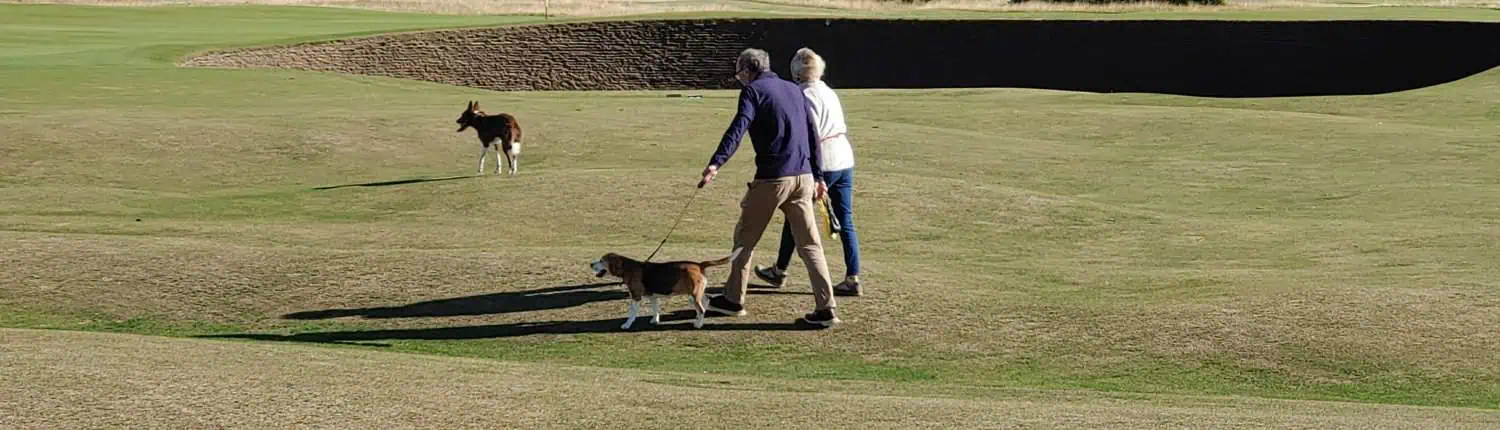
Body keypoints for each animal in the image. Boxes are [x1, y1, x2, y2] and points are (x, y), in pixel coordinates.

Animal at [591, 248, 744, 329]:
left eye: (602, 260)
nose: (591, 264)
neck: (627, 267)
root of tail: (699, 264)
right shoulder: (653, 296)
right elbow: (655, 309)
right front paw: (655, 320)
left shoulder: (636, 296)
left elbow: (632, 313)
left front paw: (626, 325)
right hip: (697, 292)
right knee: (706, 301)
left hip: (694, 294)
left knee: (701, 309)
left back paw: (698, 324)